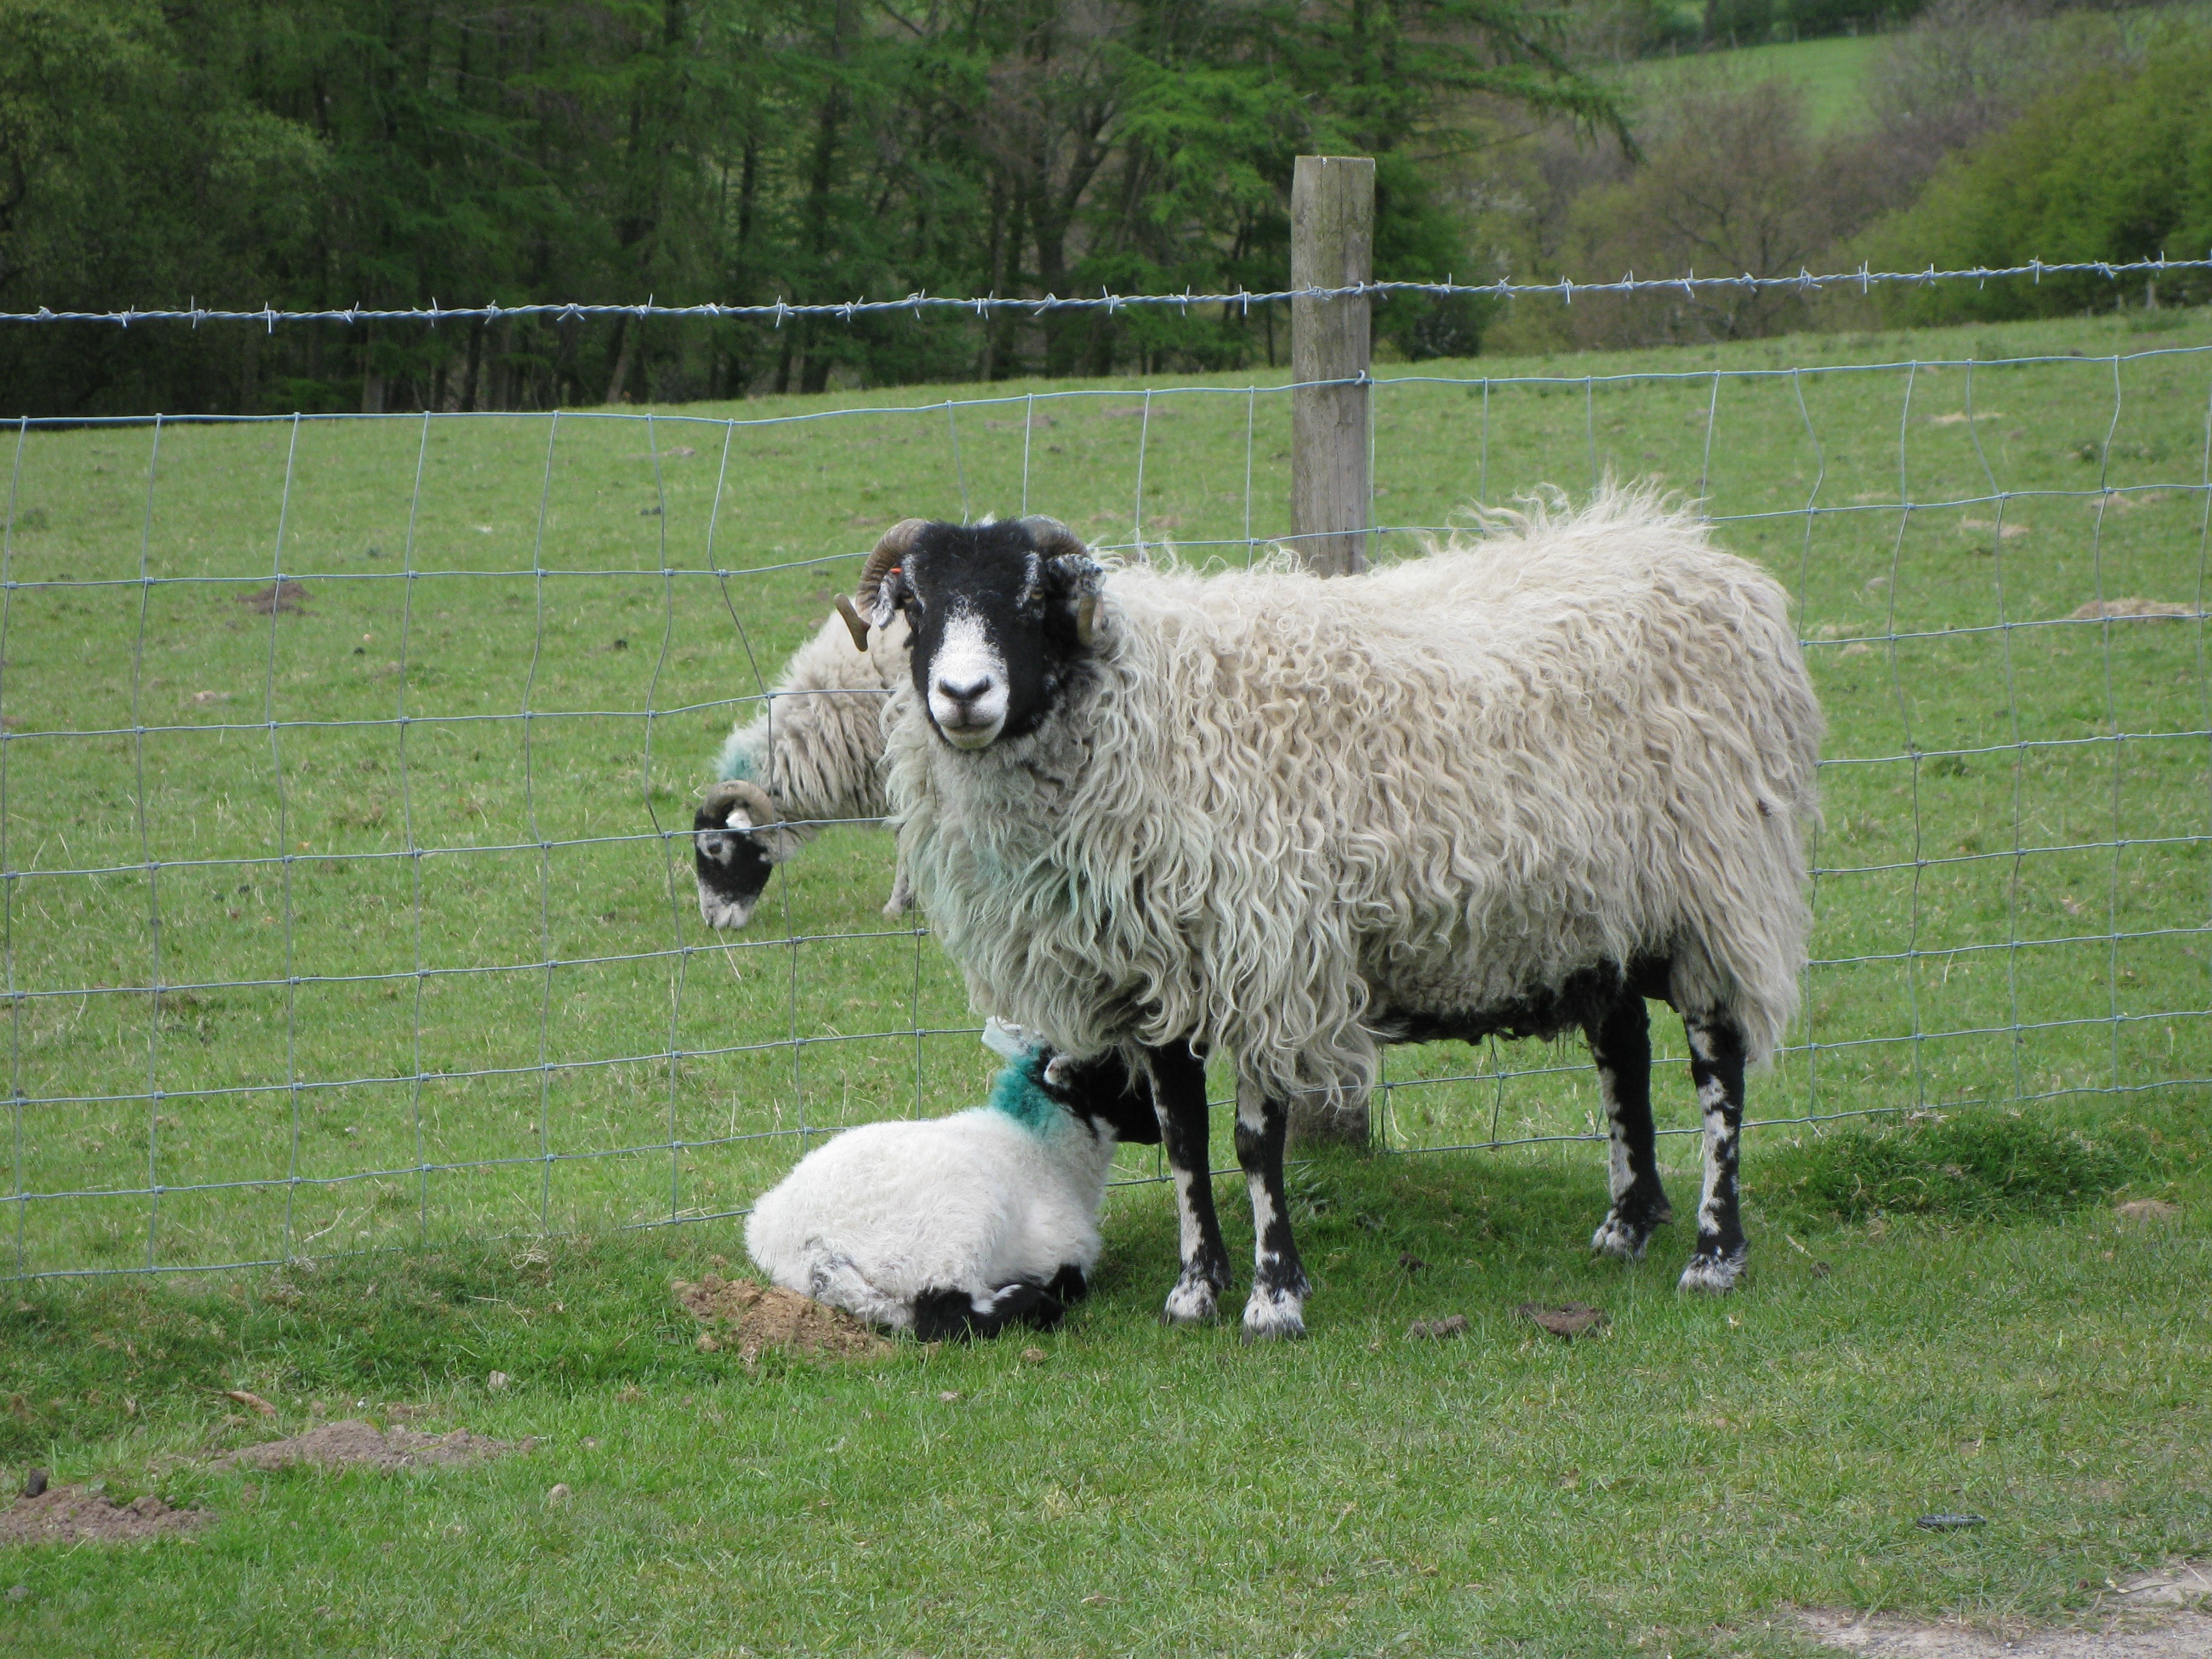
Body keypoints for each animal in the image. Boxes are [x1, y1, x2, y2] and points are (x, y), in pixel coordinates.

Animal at [739, 1022, 1168, 1344]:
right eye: (1121, 1068)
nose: (1162, 1126)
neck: (1046, 1154)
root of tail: (815, 1247)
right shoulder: (1059, 1250)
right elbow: (1072, 1282)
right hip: (950, 1231)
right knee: (944, 1320)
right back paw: (1027, 1300)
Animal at [836, 491, 1822, 1336]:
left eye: (1034, 595)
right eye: (916, 602)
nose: (964, 697)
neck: (1140, 707)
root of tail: (1706, 560)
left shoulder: (1270, 958)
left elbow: (1253, 1143)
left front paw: (1274, 1297)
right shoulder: (1154, 979)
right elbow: (1184, 1138)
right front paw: (1195, 1288)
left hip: (1715, 889)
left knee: (1717, 1067)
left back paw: (1714, 1253)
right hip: (1601, 916)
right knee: (1624, 1052)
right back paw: (1628, 1225)